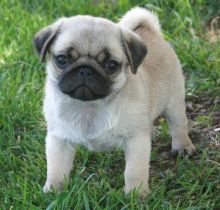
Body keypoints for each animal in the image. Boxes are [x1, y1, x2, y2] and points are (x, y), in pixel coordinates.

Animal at [33, 6, 195, 197]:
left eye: (111, 65)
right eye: (62, 59)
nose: (85, 70)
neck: (89, 106)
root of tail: (150, 31)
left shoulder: (136, 140)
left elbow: (134, 171)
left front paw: (136, 194)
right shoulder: (59, 139)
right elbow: (56, 168)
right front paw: (53, 191)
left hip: (174, 102)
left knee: (178, 125)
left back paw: (183, 147)